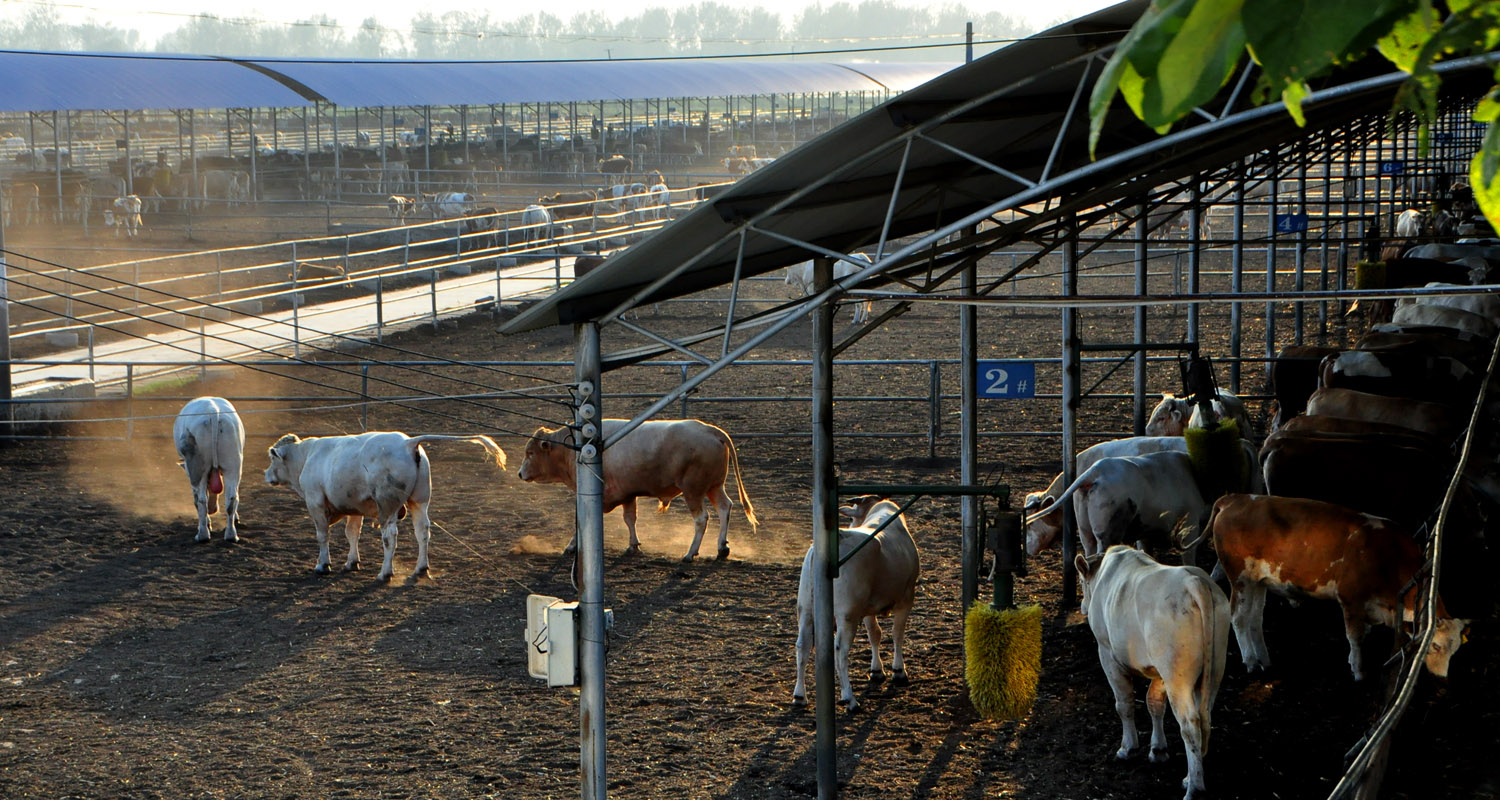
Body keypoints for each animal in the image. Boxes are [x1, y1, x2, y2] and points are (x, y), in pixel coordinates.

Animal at [172, 393, 243, 543]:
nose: (213, 509)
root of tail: (213, 412)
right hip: (233, 465)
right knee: (231, 498)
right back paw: (231, 534)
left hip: (198, 469)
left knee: (201, 500)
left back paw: (203, 534)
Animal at [264, 429, 504, 579]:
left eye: (272, 458)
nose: (266, 474)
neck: (306, 456)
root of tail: (408, 443)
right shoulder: (355, 507)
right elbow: (352, 534)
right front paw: (352, 562)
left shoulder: (315, 503)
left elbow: (323, 536)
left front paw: (323, 564)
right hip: (420, 500)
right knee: (422, 531)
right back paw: (421, 568)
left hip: (388, 506)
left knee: (390, 537)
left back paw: (385, 573)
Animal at [519, 417, 756, 561]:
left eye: (530, 453)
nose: (520, 474)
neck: (574, 449)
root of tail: (710, 430)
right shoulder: (628, 494)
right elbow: (630, 519)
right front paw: (633, 544)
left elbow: (581, 521)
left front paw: (571, 546)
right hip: (714, 486)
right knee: (725, 507)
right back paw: (722, 547)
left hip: (694, 490)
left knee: (701, 519)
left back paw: (690, 553)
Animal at [1080, 543, 1230, 798]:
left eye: (1081, 582)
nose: (1082, 605)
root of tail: (1195, 581)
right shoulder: (1158, 671)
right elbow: (1154, 703)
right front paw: (1158, 750)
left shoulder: (1107, 652)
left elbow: (1124, 703)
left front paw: (1128, 748)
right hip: (1213, 666)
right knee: (1204, 715)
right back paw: (1189, 777)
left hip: (1176, 675)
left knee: (1190, 724)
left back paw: (1194, 787)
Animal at [1206, 492, 1464, 681]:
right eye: (1435, 646)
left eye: (1456, 649)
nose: (1442, 678)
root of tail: (1237, 497)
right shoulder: (1350, 597)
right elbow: (1355, 636)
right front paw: (1359, 671)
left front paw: (1352, 661)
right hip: (1239, 577)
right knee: (1239, 618)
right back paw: (1250, 661)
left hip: (1257, 582)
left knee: (1254, 619)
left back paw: (1264, 660)